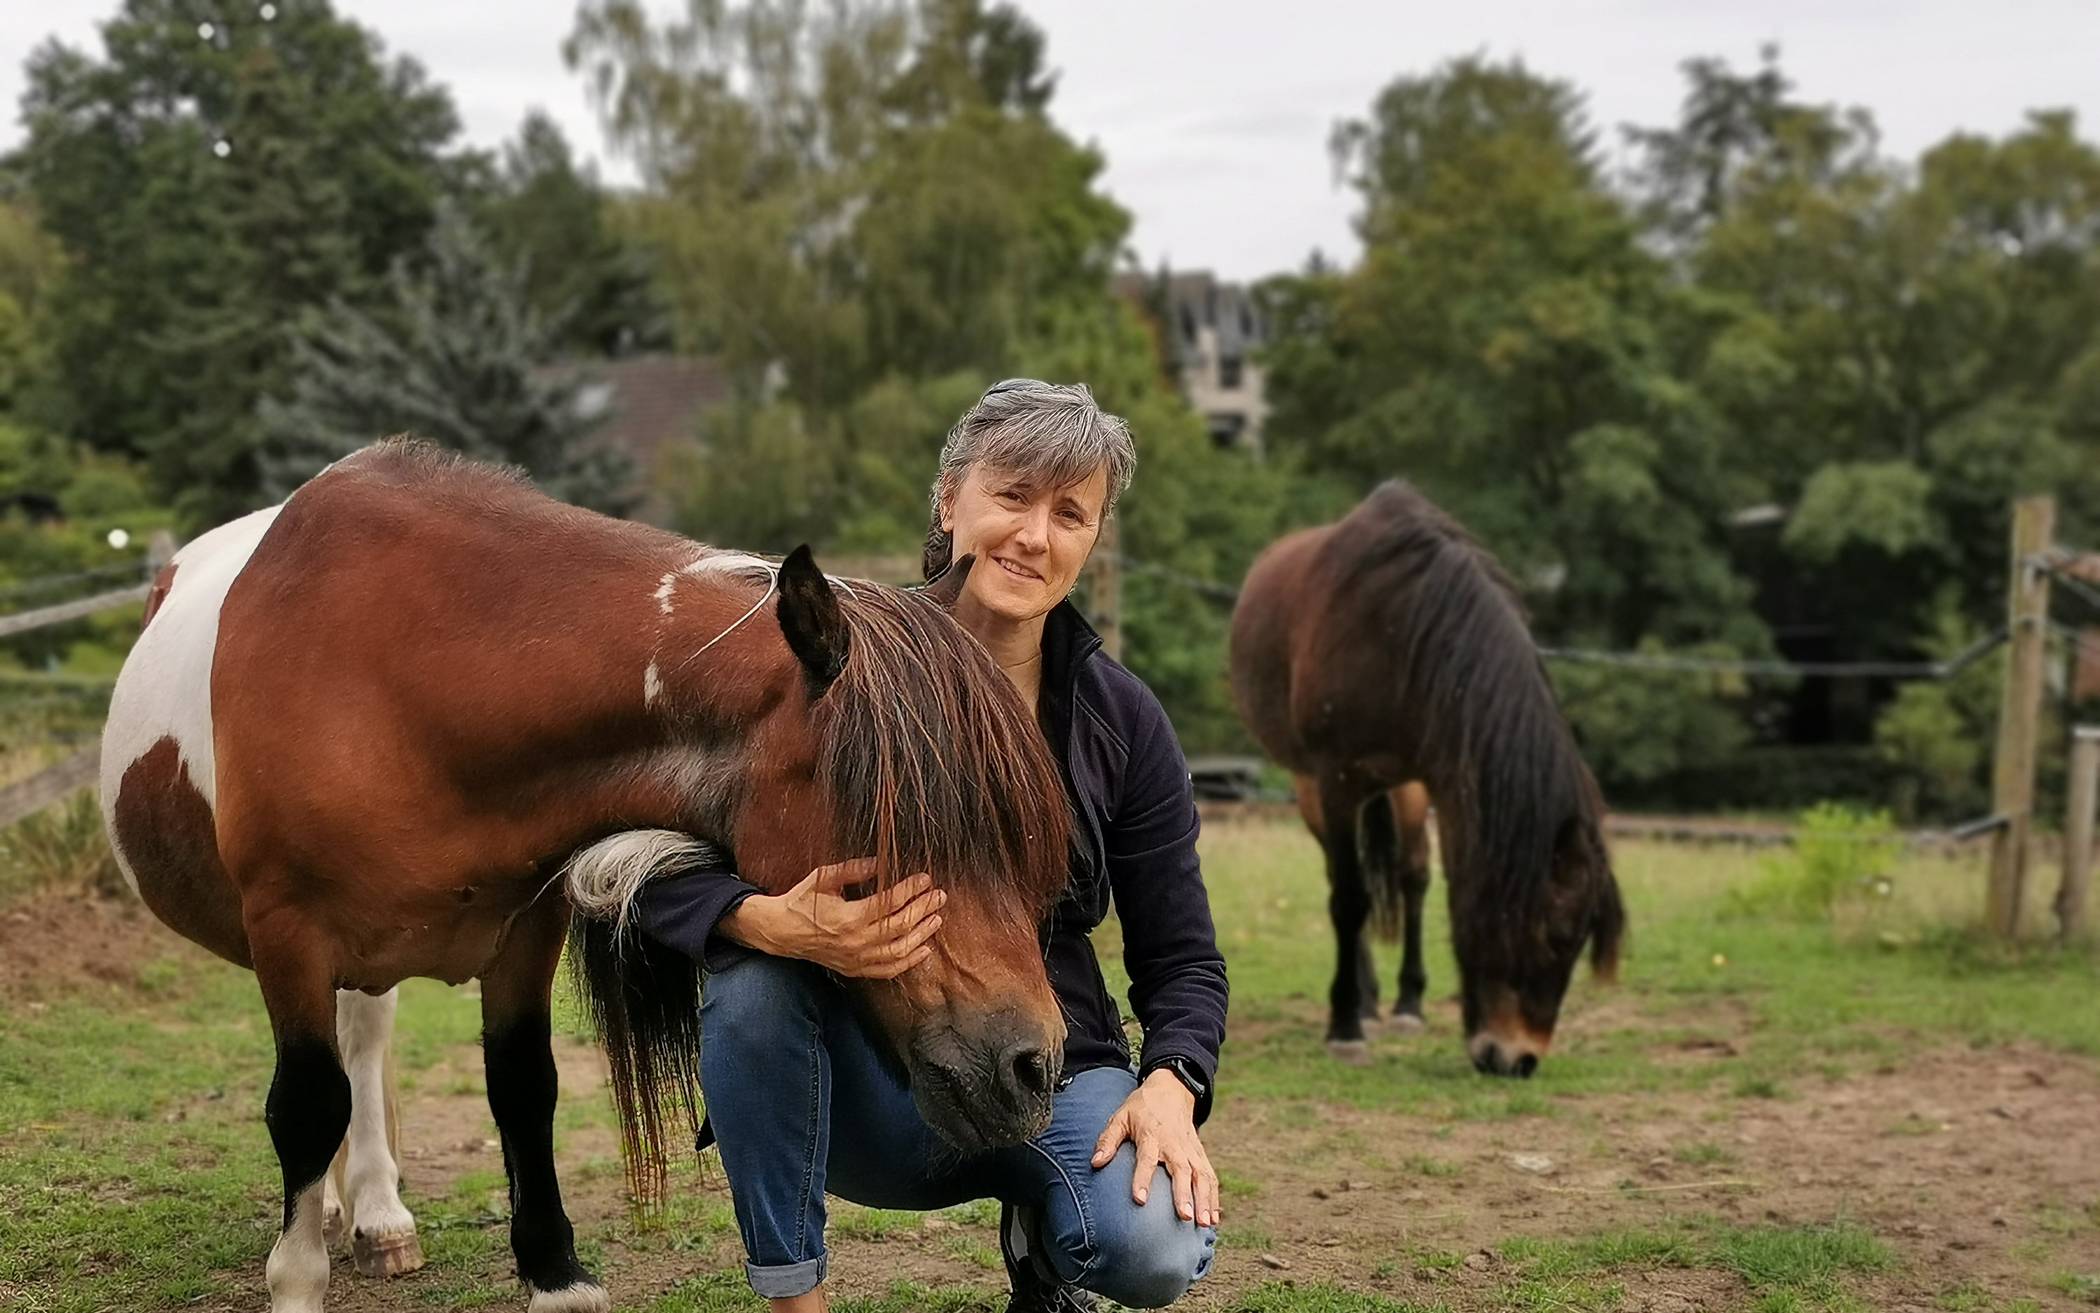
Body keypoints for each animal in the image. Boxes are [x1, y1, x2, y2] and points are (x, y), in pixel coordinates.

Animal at [98, 443, 1066, 1310]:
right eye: (892, 821)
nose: (1034, 1064)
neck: (400, 677)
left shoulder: (526, 928)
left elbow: (523, 1084)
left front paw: (554, 1274)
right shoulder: (288, 931)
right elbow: (305, 1102)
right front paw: (297, 1279)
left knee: (364, 1039)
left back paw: (373, 1212)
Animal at [1226, 481, 1621, 1075]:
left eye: (1576, 944)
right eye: (1553, 937)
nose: (1518, 1059)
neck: (1399, 630)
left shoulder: (1438, 775)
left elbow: (1422, 878)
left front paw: (1407, 1003)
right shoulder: (1335, 778)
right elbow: (1350, 898)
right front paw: (1344, 1026)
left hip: (1403, 787)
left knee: (1409, 875)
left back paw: (1397, 1003)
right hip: (1309, 784)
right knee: (1342, 881)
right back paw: (1361, 1003)